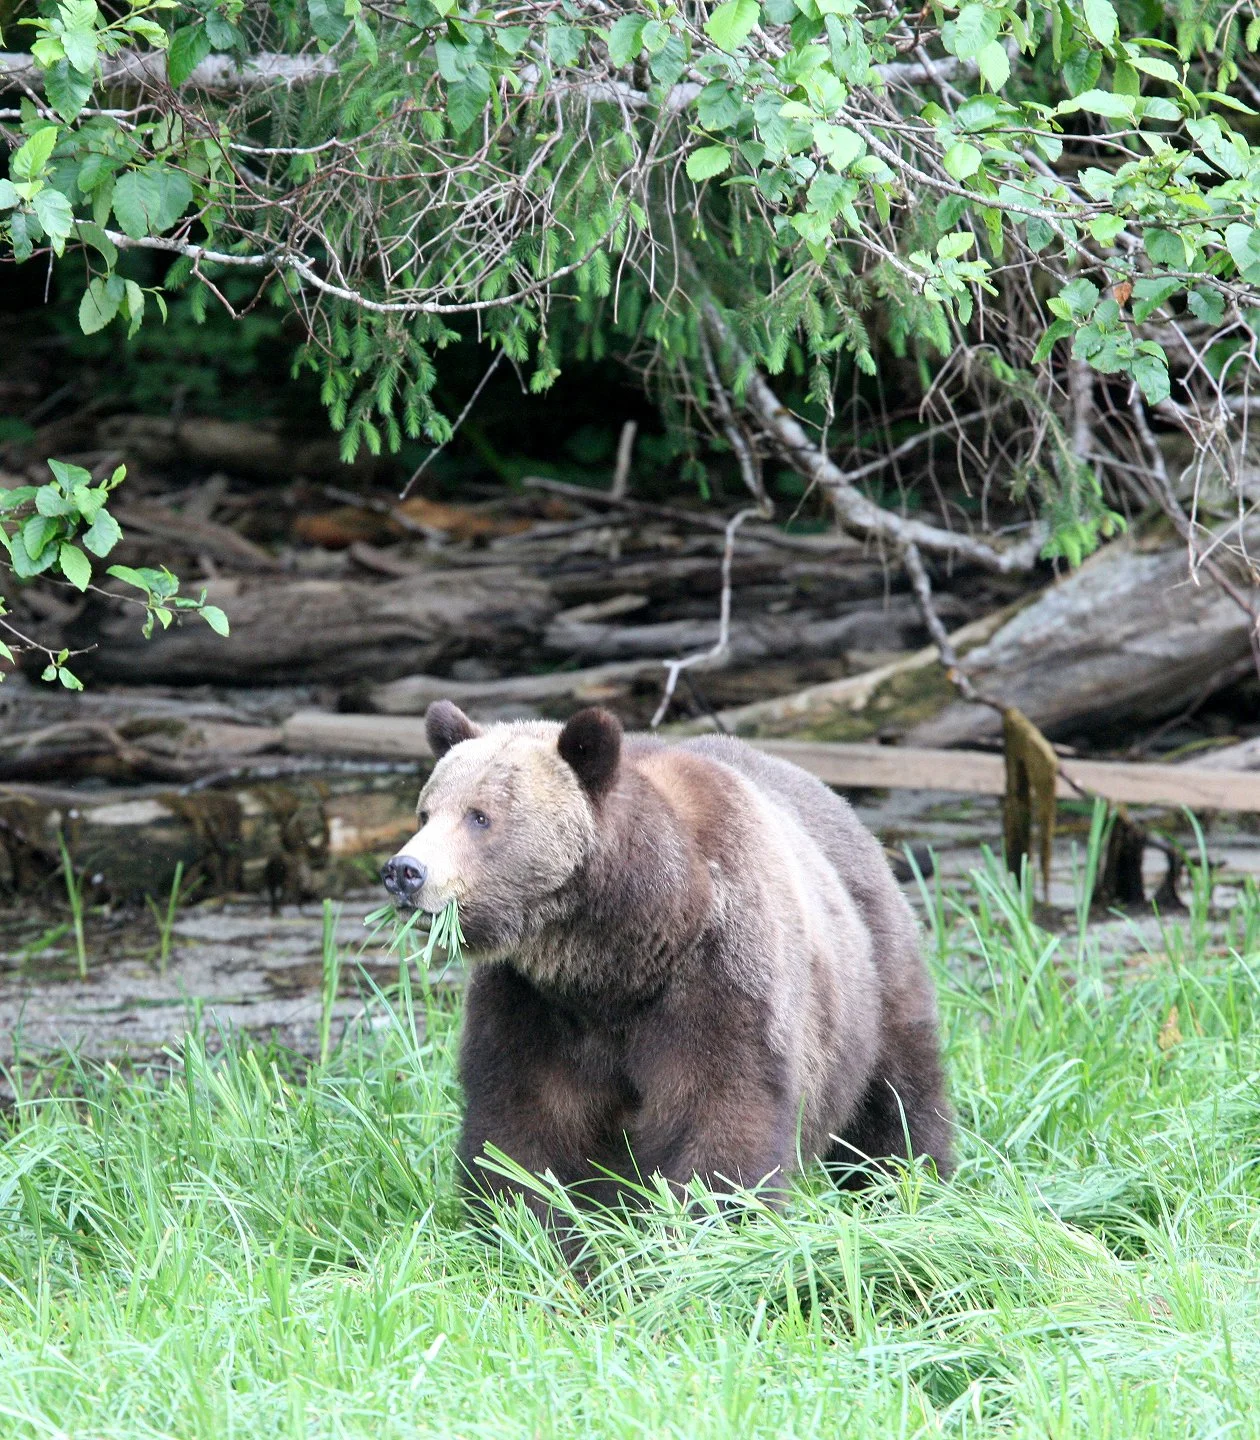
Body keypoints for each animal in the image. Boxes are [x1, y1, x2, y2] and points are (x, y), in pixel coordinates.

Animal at [381, 700, 953, 1221]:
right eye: (426, 812)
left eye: (480, 816)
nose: (404, 871)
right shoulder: (532, 1002)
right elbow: (521, 1125)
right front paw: (526, 1226)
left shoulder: (719, 973)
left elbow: (720, 1110)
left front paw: (709, 1219)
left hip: (870, 973)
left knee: (898, 1096)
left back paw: (910, 1184)